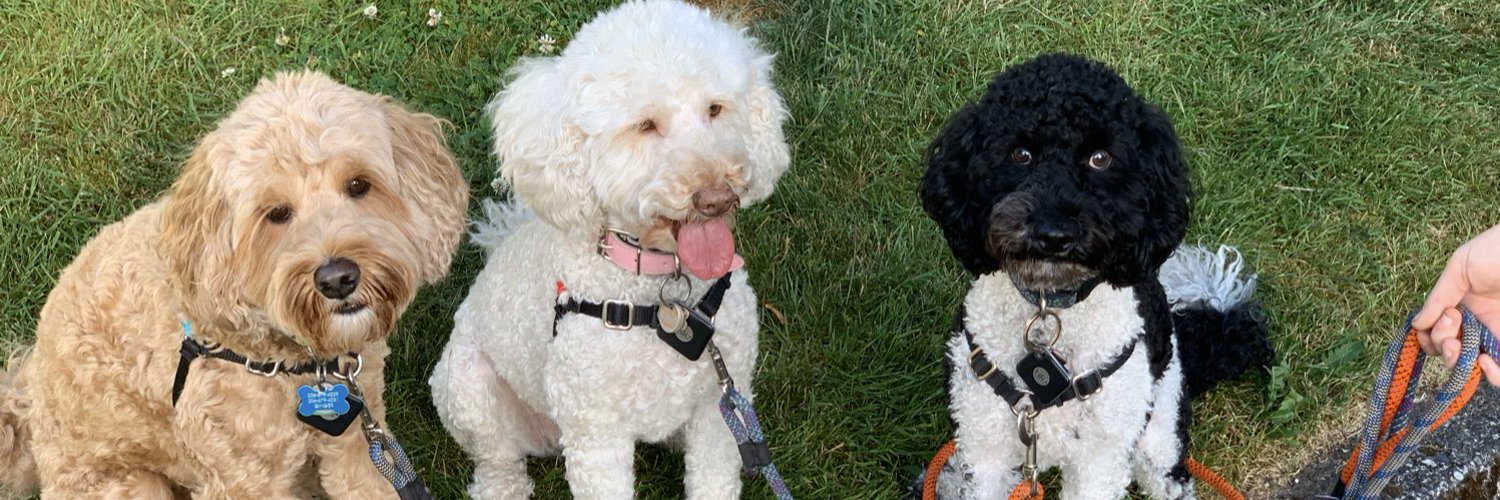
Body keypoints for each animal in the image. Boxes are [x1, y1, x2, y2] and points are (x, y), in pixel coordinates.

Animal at [0, 71, 468, 498]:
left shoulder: (359, 439)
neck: (290, 360)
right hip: (130, 484)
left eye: (358, 185)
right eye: (276, 213)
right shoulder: (243, 478)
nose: (337, 279)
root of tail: (31, 420)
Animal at [427, 1, 790, 498]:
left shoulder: (717, 410)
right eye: (645, 125)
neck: (658, 288)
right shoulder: (597, 435)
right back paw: (503, 485)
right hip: (467, 385)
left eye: (715, 108)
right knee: (496, 456)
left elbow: (714, 477)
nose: (716, 197)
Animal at [917, 54, 1272, 499]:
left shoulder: (1099, 461)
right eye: (1020, 153)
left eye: (1100, 158)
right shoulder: (986, 451)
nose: (1054, 234)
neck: (1050, 311)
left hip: (1157, 439)